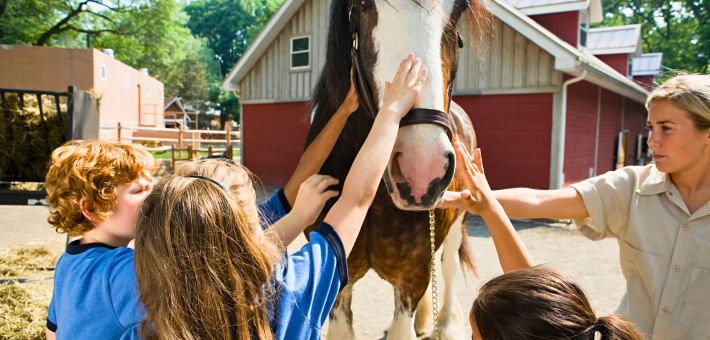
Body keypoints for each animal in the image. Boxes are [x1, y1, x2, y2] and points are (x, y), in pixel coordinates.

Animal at [306, 0, 496, 338]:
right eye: (363, 5)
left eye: (460, 8)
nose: (422, 171)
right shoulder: (337, 279)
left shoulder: (412, 277)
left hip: (459, 221)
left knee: (447, 265)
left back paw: (447, 324)